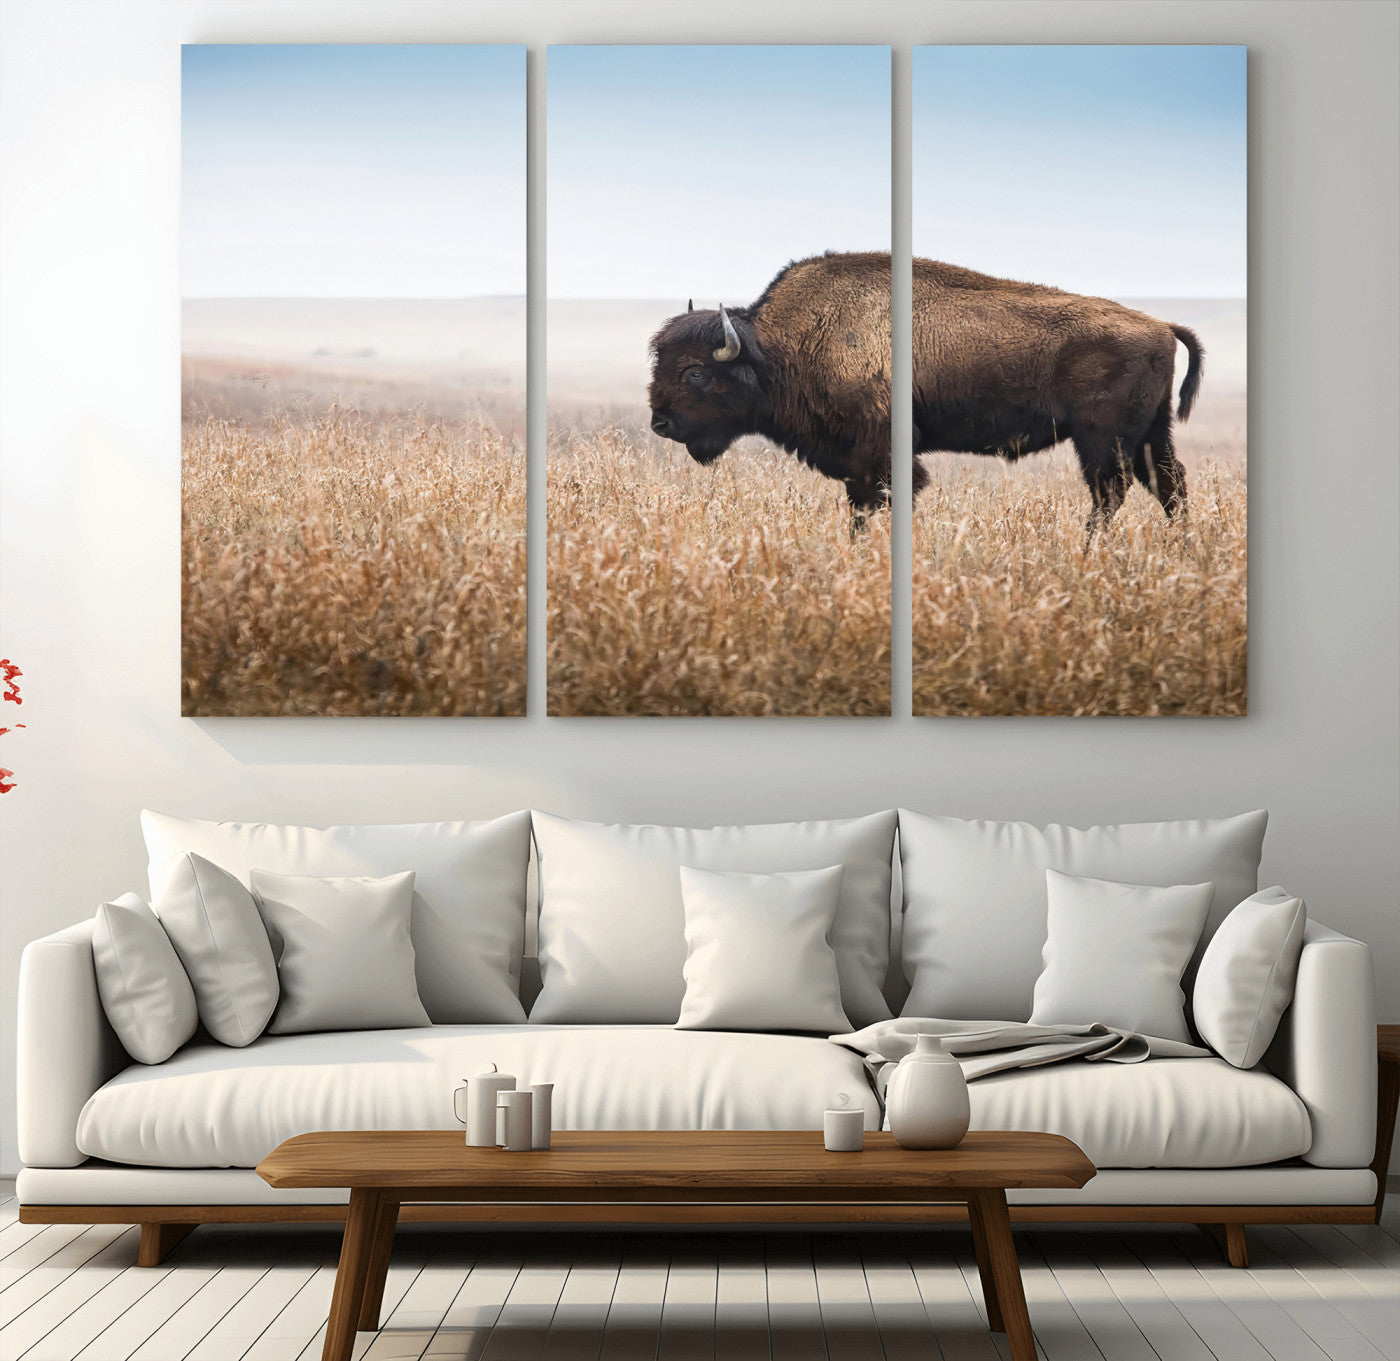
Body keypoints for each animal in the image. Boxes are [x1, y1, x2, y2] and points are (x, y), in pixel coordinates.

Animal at [647, 251, 1203, 534]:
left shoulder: (880, 455)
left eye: (694, 372)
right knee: (1168, 485)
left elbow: (876, 503)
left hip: (1102, 439)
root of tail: (1160, 325)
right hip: (1150, 433)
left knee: (1112, 492)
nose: (660, 423)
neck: (782, 347)